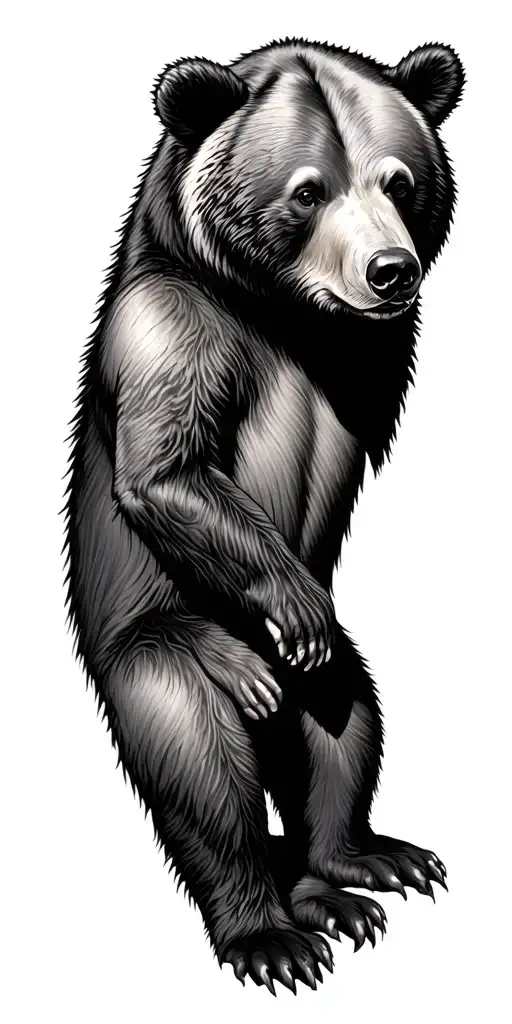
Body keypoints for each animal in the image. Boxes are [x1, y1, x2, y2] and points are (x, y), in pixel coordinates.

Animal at [64, 36, 464, 995]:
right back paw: (268, 930)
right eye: (308, 190)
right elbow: (170, 471)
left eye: (399, 180)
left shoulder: (369, 356)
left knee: (347, 722)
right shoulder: (169, 329)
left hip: (325, 679)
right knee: (205, 764)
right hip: (156, 644)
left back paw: (353, 868)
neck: (281, 315)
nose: (390, 271)